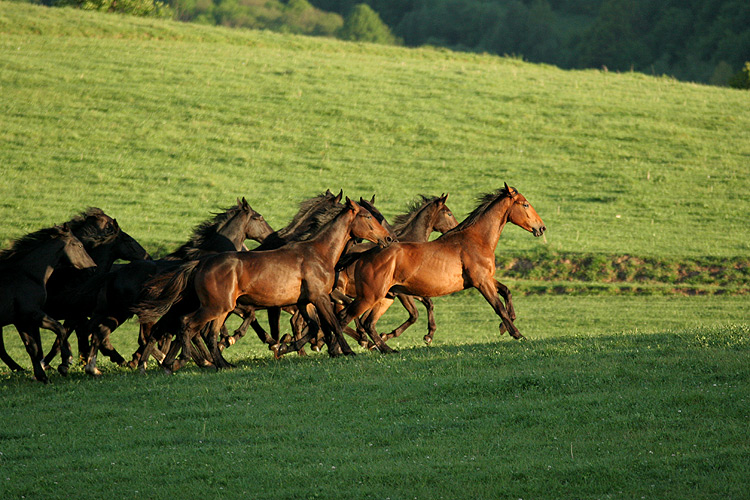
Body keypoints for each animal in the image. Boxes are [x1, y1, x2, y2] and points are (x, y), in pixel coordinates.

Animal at [0, 225, 97, 380]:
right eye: (79, 245)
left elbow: (32, 347)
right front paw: (65, 361)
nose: (93, 268)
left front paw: (42, 375)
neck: (28, 274)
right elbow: (59, 328)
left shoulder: (22, 320)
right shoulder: (33, 314)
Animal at [134, 197, 394, 374]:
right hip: (215, 307)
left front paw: (286, 347)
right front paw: (347, 351)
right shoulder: (319, 297)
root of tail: (200, 263)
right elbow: (334, 324)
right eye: (368, 216)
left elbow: (314, 327)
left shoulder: (304, 302)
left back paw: (221, 364)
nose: (389, 238)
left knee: (207, 334)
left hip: (222, 308)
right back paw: (178, 361)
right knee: (187, 325)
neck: (318, 252)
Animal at [336, 184, 548, 352]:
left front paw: (505, 326)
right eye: (525, 204)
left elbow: (506, 292)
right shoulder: (481, 282)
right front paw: (517, 334)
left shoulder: (487, 278)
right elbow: (498, 307)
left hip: (385, 296)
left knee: (366, 322)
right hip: (369, 296)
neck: (476, 239)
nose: (542, 227)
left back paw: (383, 348)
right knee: (344, 318)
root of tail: (363, 254)